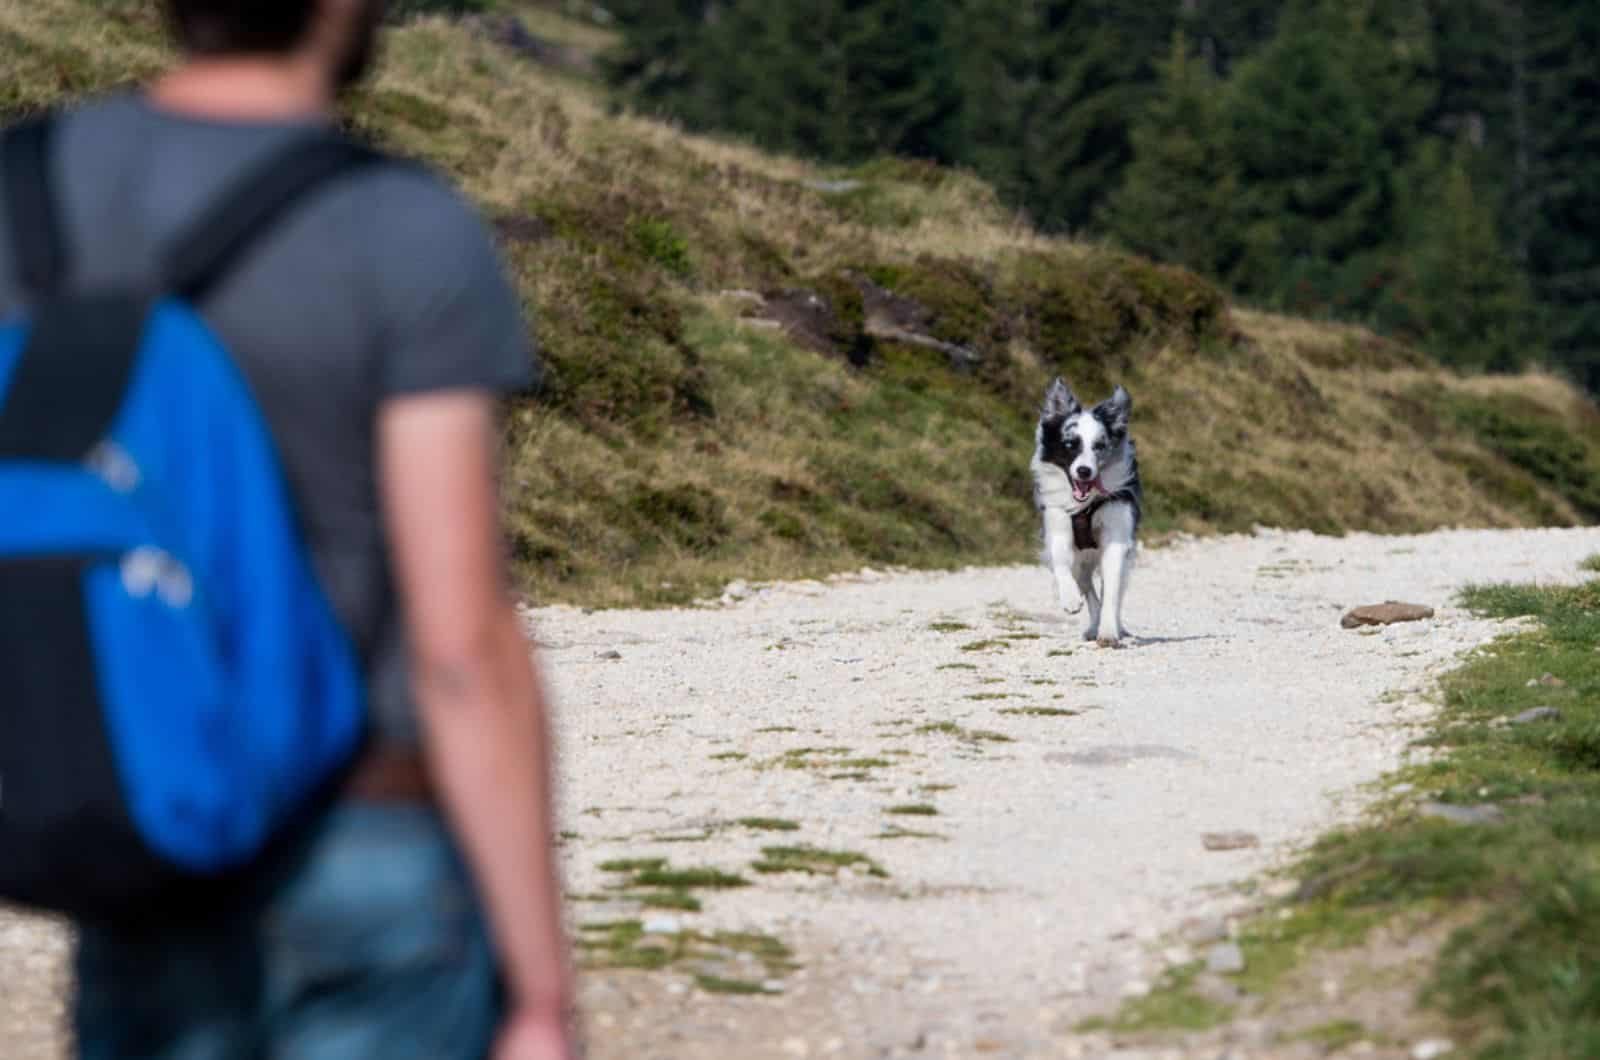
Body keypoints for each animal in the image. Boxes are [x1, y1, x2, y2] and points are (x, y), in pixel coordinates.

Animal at [1030, 377, 1145, 653]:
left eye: (1099, 446)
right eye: (1071, 444)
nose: (1084, 471)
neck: (1085, 505)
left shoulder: (1117, 537)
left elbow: (1111, 590)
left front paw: (1109, 632)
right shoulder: (1058, 523)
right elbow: (1060, 559)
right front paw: (1070, 599)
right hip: (1081, 561)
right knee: (1086, 586)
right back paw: (1091, 624)